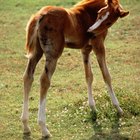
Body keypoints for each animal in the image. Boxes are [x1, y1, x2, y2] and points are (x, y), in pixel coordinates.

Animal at [21, 0, 129, 138]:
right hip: (53, 54)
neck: (88, 12)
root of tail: (40, 15)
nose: (89, 32)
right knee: (44, 80)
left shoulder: (85, 49)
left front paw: (93, 108)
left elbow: (89, 76)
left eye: (108, 21)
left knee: (28, 77)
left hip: (36, 52)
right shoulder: (98, 45)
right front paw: (118, 109)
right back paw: (44, 128)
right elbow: (106, 75)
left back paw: (25, 125)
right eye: (99, 14)